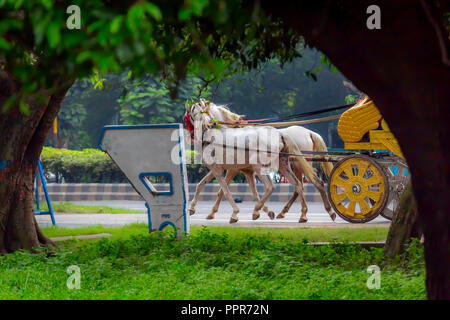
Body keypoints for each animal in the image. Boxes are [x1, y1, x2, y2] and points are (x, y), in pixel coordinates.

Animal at [185, 99, 328, 222]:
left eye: (189, 114)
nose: (190, 137)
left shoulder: (228, 169)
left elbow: (223, 190)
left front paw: (230, 213)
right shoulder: (237, 170)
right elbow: (201, 185)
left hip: (286, 164)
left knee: (277, 186)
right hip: (286, 164)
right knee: (301, 185)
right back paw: (302, 213)